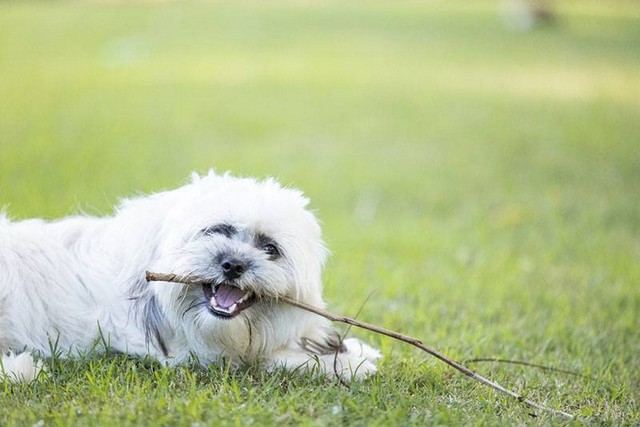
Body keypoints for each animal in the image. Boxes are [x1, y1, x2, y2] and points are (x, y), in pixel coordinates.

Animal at [0, 172, 380, 382]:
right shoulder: (189, 353)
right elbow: (267, 359)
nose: (233, 264)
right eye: (217, 230)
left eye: (270, 248)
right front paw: (346, 363)